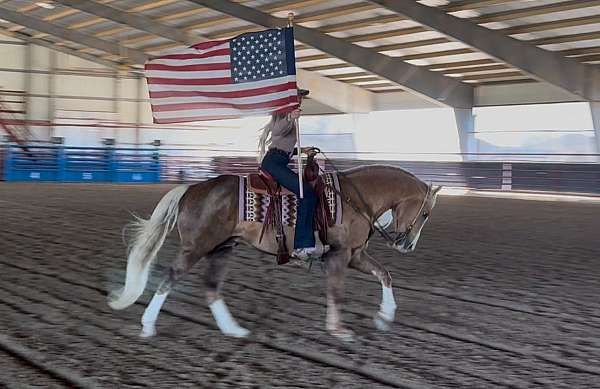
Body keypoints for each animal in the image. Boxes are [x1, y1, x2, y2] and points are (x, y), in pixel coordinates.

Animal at [108, 165, 440, 342]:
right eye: (425, 213)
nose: (407, 245)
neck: (353, 198)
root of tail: (191, 189)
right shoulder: (339, 255)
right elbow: (336, 292)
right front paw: (339, 329)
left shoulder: (355, 255)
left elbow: (385, 275)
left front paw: (384, 317)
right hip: (197, 247)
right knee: (170, 278)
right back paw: (148, 326)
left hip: (221, 249)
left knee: (211, 288)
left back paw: (234, 329)